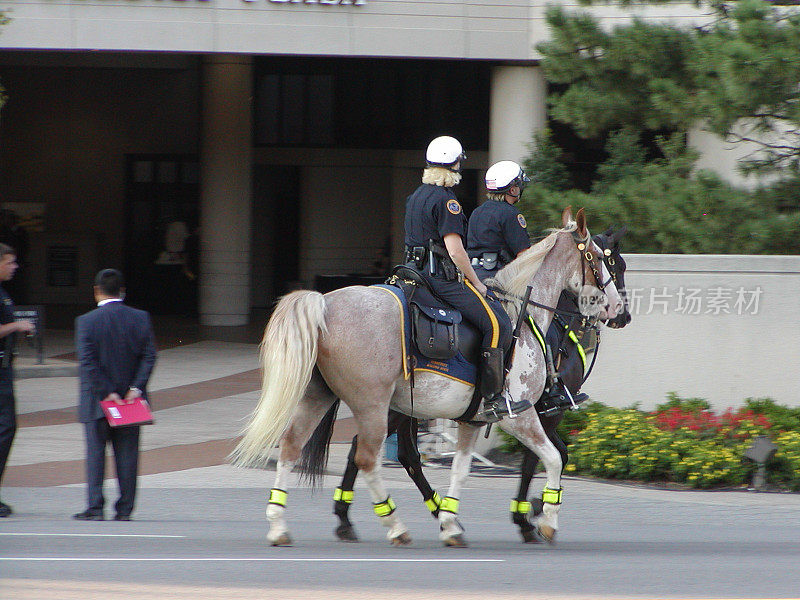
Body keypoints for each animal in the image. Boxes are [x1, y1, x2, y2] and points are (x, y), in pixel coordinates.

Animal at [231, 209, 624, 548]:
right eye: (602, 259)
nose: (620, 310)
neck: (524, 316)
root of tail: (325, 304)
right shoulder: (524, 415)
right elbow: (552, 459)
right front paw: (543, 518)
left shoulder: (472, 419)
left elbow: (461, 470)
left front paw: (451, 522)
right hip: (373, 405)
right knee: (367, 456)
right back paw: (393, 524)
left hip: (322, 396)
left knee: (293, 446)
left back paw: (281, 524)